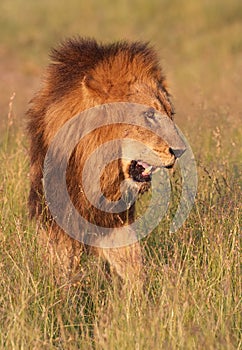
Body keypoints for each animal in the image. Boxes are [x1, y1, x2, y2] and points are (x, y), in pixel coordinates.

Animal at [27, 37, 185, 286]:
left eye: (170, 114)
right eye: (149, 115)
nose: (180, 150)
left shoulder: (116, 223)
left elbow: (134, 267)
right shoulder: (56, 220)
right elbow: (60, 269)